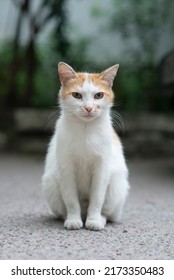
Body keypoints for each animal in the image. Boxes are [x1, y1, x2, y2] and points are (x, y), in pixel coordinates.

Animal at [41, 62, 129, 231]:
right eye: (77, 95)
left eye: (98, 95)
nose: (88, 108)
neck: (85, 130)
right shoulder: (66, 168)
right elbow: (71, 199)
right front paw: (73, 219)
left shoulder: (101, 169)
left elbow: (97, 199)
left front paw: (94, 220)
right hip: (50, 183)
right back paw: (70, 217)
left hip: (116, 185)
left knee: (108, 213)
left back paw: (100, 219)